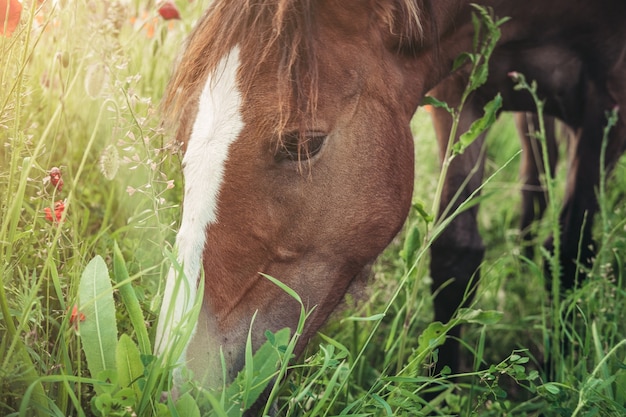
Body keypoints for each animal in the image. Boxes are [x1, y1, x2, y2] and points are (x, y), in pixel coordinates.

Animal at [152, 0, 624, 400]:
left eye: (303, 144)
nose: (180, 379)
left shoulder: (608, 103)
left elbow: (571, 253)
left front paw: (557, 375)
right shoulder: (461, 89)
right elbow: (456, 255)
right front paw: (439, 393)